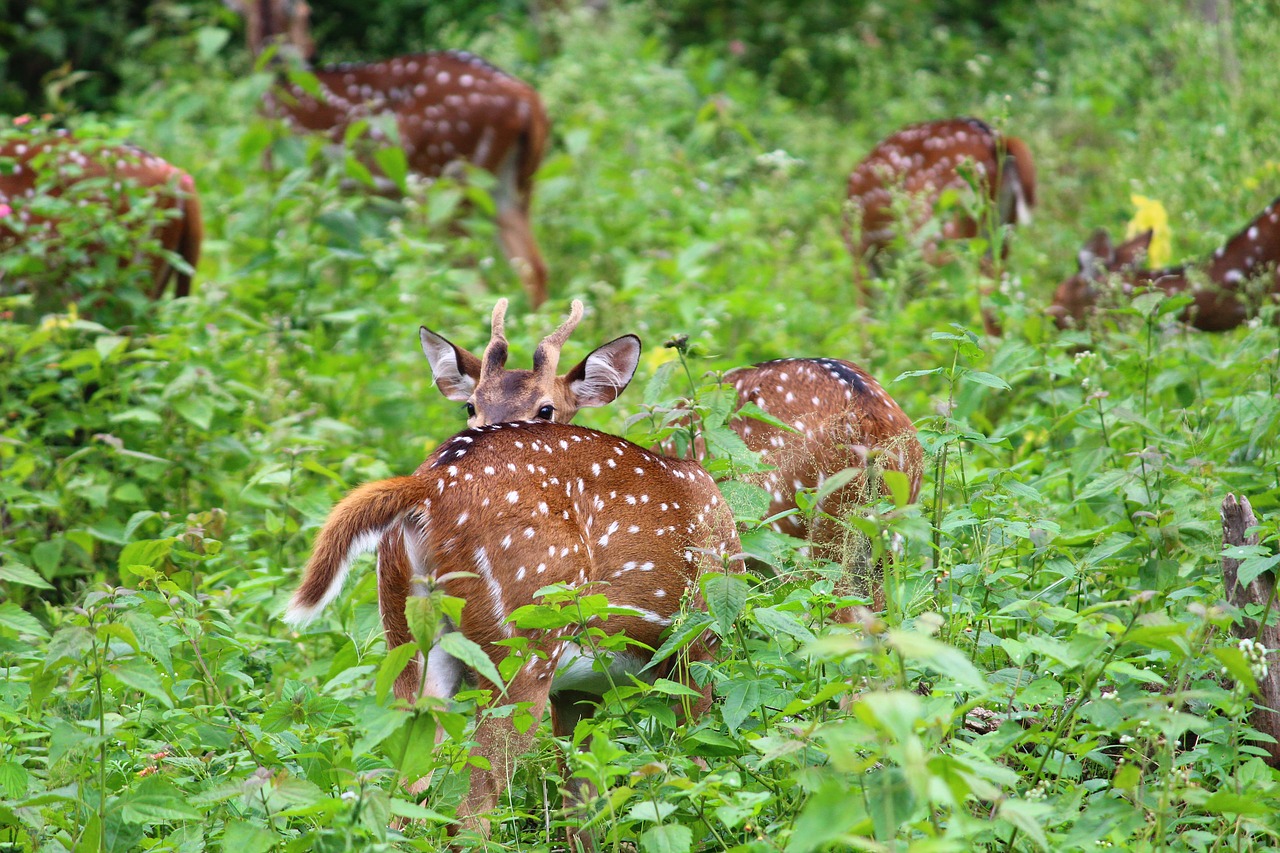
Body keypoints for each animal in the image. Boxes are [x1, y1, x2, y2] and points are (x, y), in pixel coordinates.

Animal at [230, 0, 550, 306]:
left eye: (307, 12)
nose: (311, 50)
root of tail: (527, 99)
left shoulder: (293, 182)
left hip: (442, 183)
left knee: (464, 277)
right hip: (511, 187)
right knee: (533, 268)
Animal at [289, 414, 742, 840]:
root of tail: (429, 485)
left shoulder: (578, 690)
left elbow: (579, 801)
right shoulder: (698, 645)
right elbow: (699, 765)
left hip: (411, 646)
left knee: (406, 796)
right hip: (522, 644)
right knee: (467, 808)